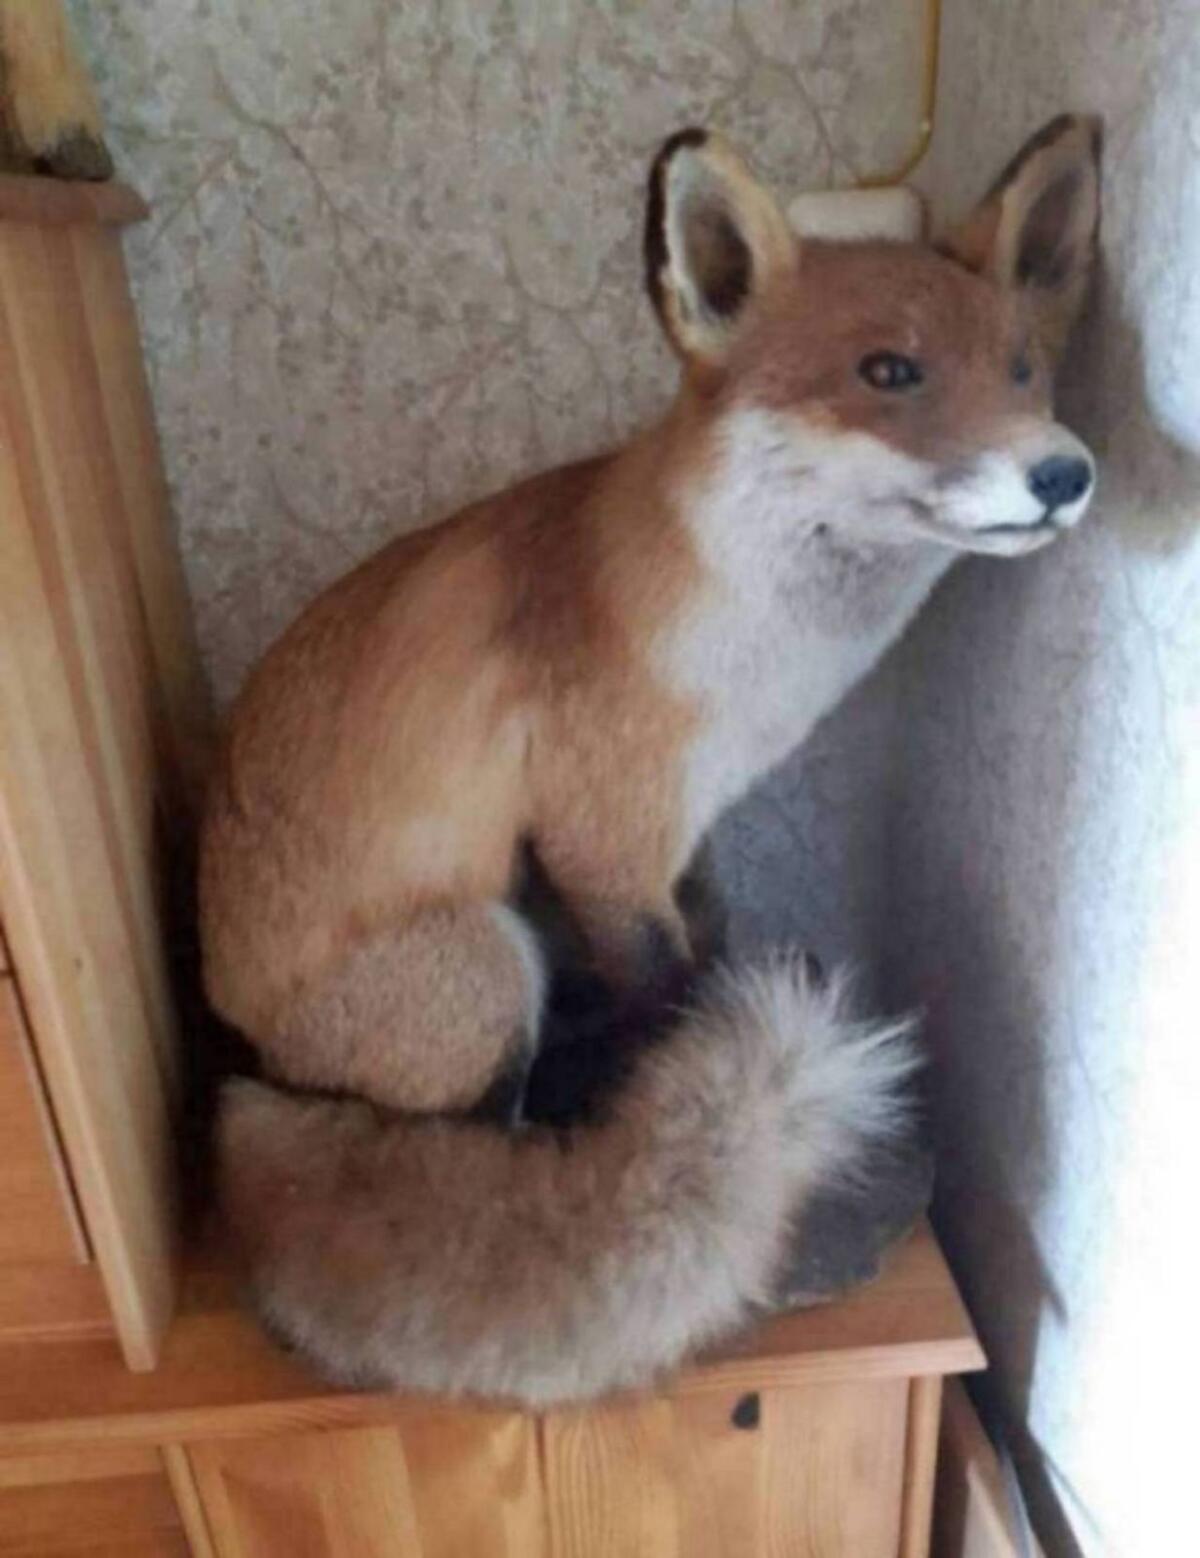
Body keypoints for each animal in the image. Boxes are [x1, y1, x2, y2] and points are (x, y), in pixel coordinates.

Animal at [204, 115, 1100, 1404]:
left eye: (1026, 369)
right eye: (889, 372)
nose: (1064, 471)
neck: (745, 649)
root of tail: (233, 1028)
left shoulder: (684, 832)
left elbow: (714, 944)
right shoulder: (602, 838)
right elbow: (675, 994)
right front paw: (705, 1115)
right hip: (488, 960)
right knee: (444, 1136)